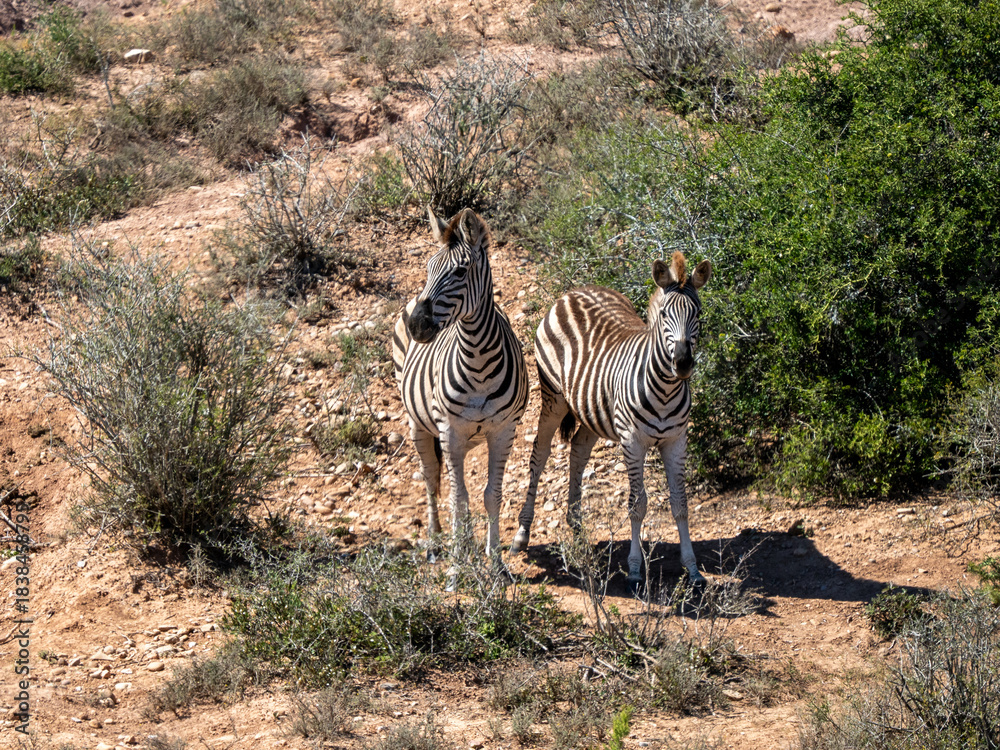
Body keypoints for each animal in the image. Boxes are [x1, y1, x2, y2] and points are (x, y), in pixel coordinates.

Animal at [392, 207, 529, 583]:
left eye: (460, 271)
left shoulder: (503, 431)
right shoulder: (449, 430)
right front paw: (456, 565)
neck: (478, 361)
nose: (417, 326)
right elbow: (458, 497)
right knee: (431, 480)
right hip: (420, 425)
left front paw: (495, 563)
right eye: (428, 268)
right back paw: (438, 542)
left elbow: (490, 496)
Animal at [510, 252, 712, 590]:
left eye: (697, 313)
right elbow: (637, 504)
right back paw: (522, 534)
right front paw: (635, 570)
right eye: (665, 315)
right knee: (539, 454)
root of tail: (574, 291)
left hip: (591, 410)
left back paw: (577, 525)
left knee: (578, 450)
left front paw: (693, 570)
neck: (666, 389)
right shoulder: (632, 441)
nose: (683, 363)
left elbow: (680, 504)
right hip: (554, 397)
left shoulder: (676, 441)